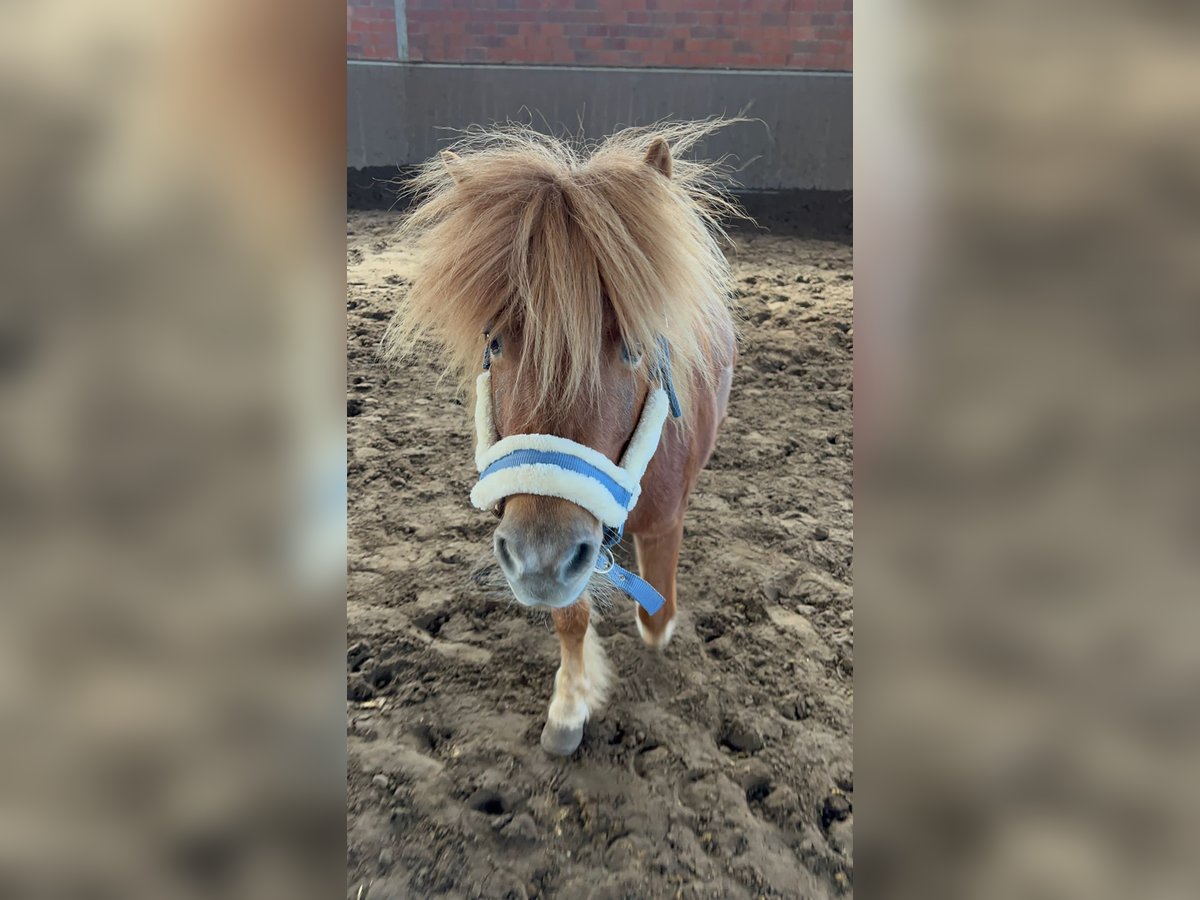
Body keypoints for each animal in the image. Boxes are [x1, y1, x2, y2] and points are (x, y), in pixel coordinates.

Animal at [384, 123, 739, 758]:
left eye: (634, 349)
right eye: (494, 343)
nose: (540, 562)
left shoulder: (654, 523)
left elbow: (656, 616)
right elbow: (570, 619)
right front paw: (570, 708)